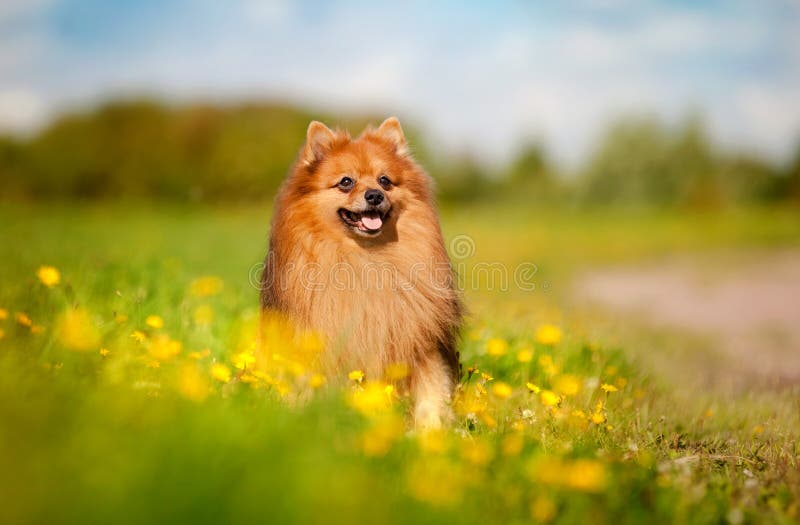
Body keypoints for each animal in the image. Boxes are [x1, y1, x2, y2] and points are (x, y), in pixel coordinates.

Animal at [260, 117, 462, 426]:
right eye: (346, 182)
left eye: (385, 181)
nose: (375, 195)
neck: (365, 259)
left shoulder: (422, 345)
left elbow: (431, 395)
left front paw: (430, 431)